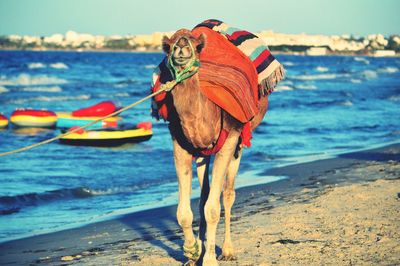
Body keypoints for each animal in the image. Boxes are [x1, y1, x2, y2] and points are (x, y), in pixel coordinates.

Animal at [156, 26, 282, 264]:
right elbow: (183, 212)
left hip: (239, 141)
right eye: (169, 46)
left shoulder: (229, 140)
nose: (181, 46)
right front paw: (192, 252)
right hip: (203, 151)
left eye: (197, 46)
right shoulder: (180, 144)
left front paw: (209, 259)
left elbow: (214, 208)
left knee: (228, 193)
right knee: (204, 194)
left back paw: (227, 250)